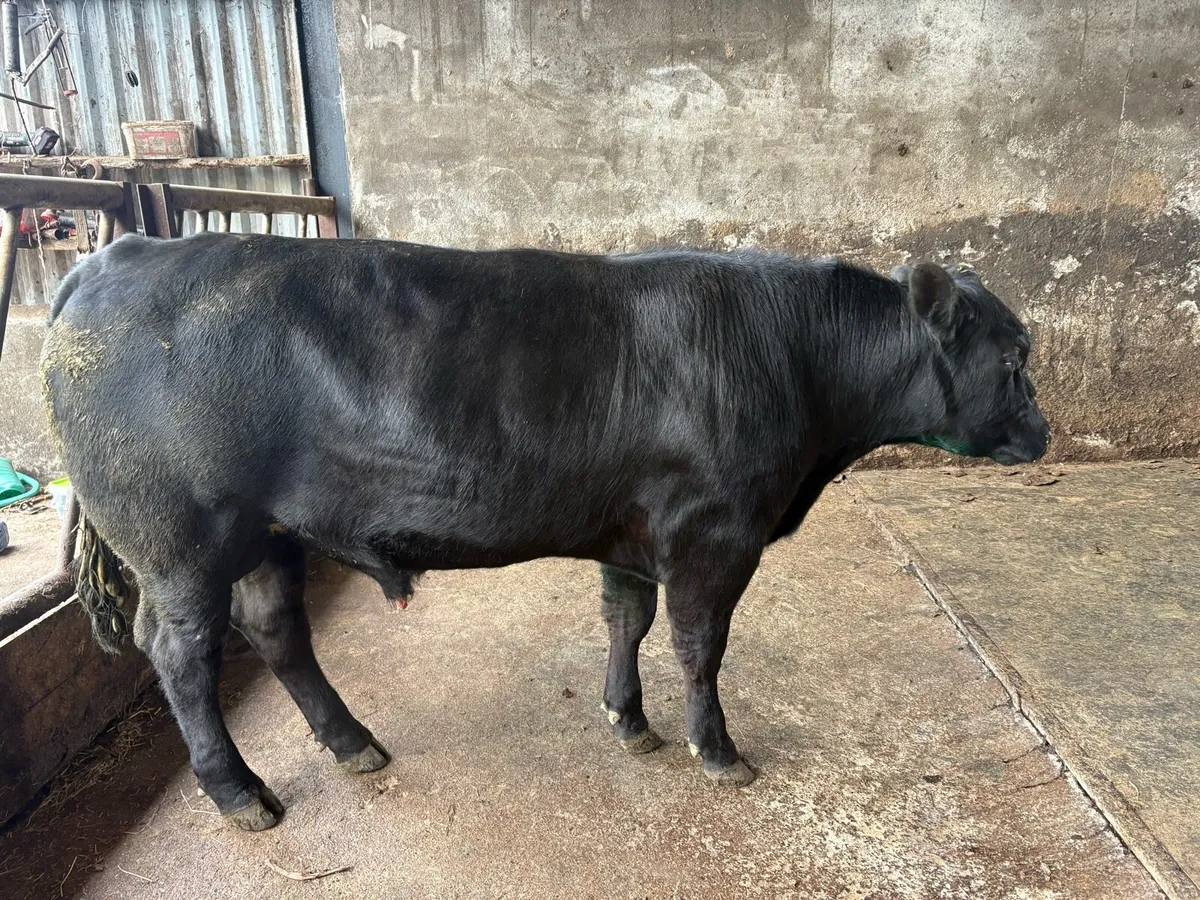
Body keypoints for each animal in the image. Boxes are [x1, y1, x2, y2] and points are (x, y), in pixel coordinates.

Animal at [41, 233, 1049, 830]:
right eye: (1015, 357)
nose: (1044, 430)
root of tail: (114, 257)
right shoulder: (716, 533)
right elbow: (700, 645)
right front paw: (717, 750)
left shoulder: (635, 531)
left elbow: (627, 621)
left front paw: (628, 720)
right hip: (180, 539)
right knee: (183, 654)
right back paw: (240, 794)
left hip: (265, 533)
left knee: (276, 627)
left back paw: (353, 743)